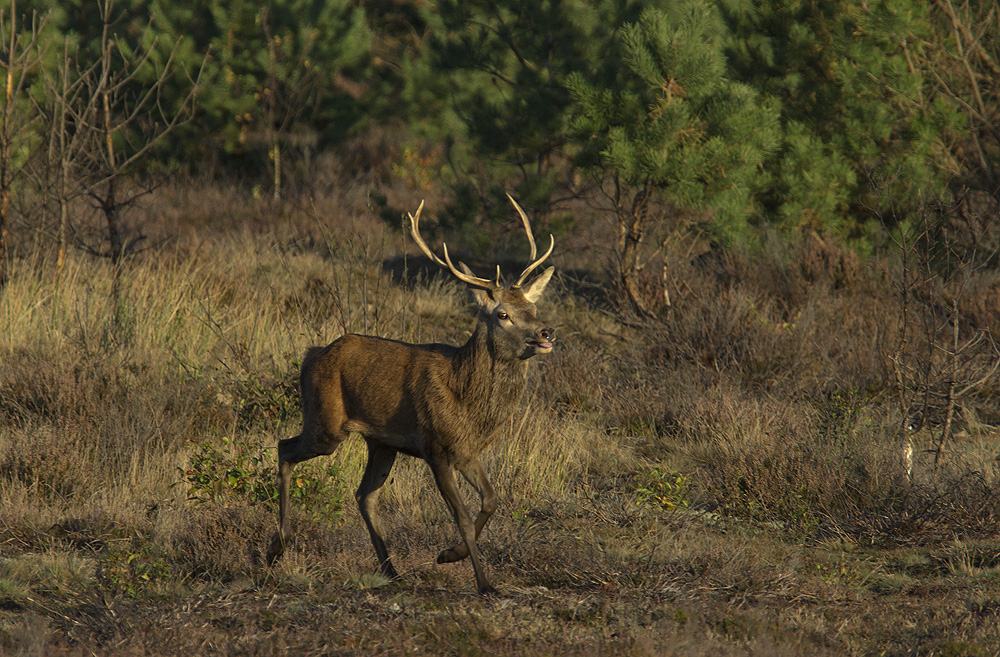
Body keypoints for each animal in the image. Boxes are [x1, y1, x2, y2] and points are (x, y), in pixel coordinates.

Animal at [266, 195, 560, 596]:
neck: (466, 399)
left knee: (365, 495)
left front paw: (449, 555)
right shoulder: (434, 446)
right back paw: (277, 548)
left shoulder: (466, 450)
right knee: (284, 447)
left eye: (532, 307)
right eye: (502, 314)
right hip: (325, 422)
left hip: (381, 442)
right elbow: (463, 516)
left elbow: (492, 499)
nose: (546, 332)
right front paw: (483, 582)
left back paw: (391, 570)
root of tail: (312, 354)